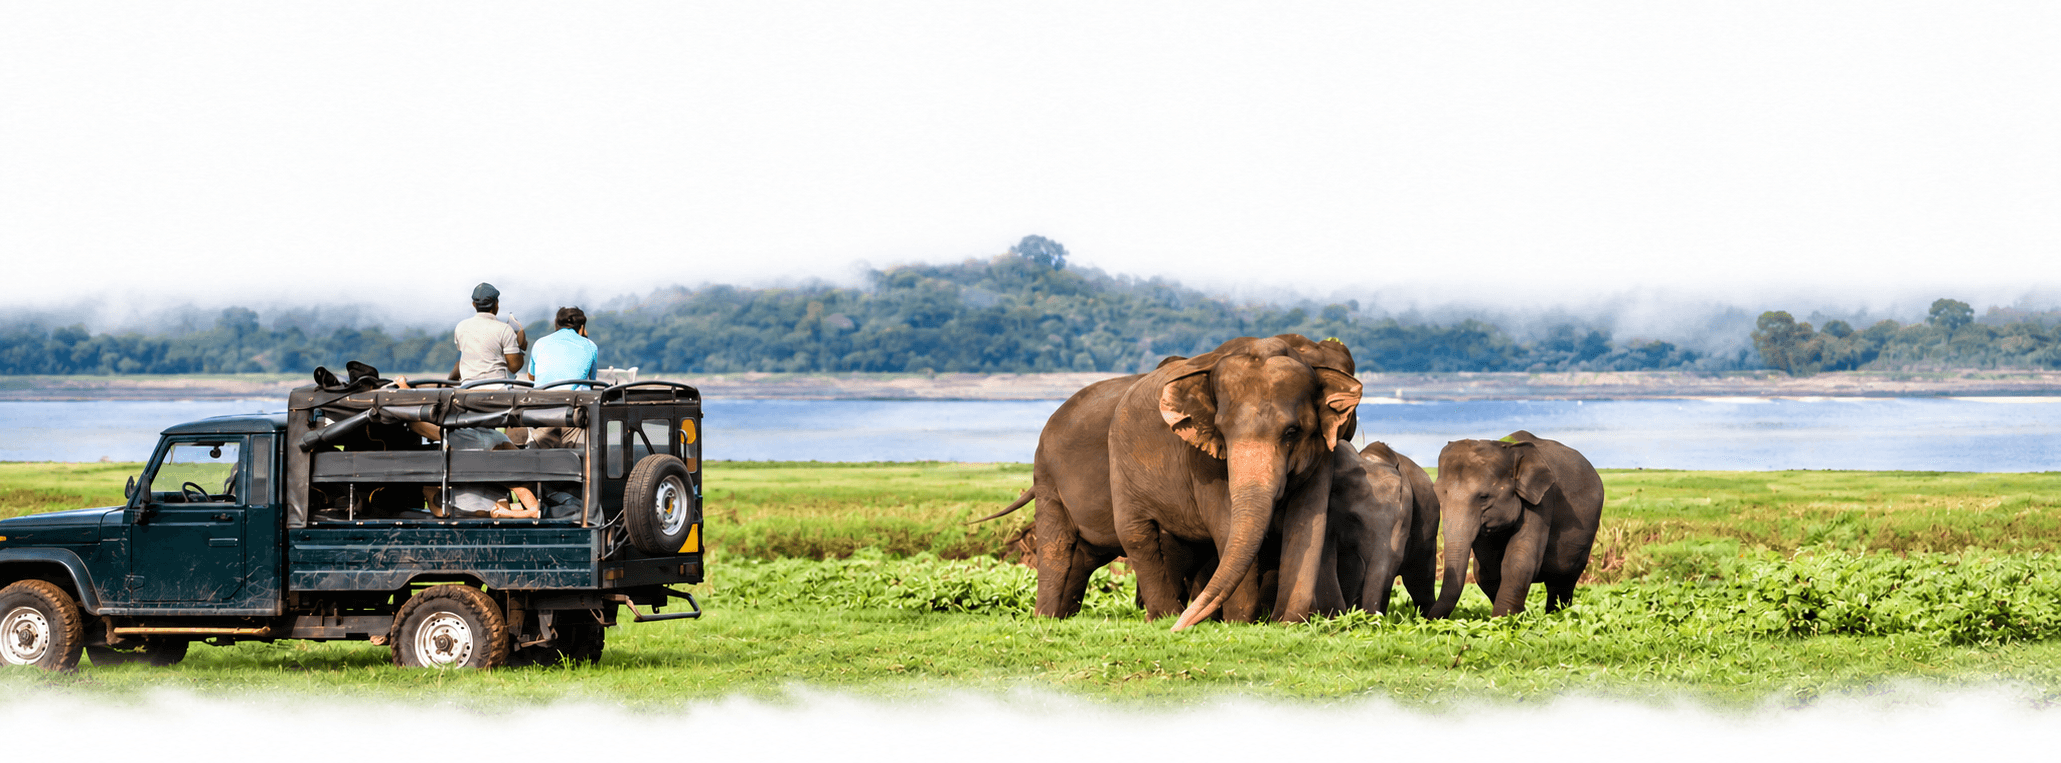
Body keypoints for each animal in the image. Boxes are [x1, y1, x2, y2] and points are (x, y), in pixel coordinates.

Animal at [1107, 334, 1364, 631]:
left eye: (1292, 432)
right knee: (1135, 533)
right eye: (1222, 430)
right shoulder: (1202, 459)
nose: (1180, 627)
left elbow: (1307, 521)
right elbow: (1225, 523)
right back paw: (1163, 616)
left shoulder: (1322, 453)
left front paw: (1286, 623)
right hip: (1121, 466)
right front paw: (1239, 623)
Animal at [1426, 430, 1604, 618]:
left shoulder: (1543, 499)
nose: (1427, 620)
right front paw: (1517, 617)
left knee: (1563, 582)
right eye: (1438, 494)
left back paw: (1558, 616)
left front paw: (1503, 620)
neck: (1510, 449)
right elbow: (1486, 571)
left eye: (1484, 497)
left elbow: (1519, 559)